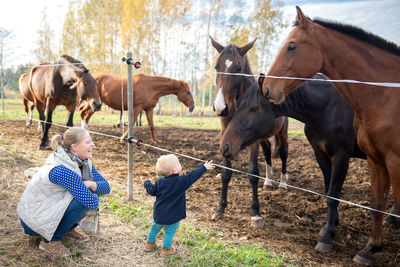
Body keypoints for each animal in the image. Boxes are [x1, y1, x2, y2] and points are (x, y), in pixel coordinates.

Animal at [211, 36, 290, 229]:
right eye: (217, 66)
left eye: (238, 68)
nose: (220, 107)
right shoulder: (226, 135)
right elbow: (226, 172)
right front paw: (220, 209)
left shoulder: (252, 140)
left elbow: (253, 173)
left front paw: (256, 214)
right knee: (268, 150)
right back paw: (268, 182)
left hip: (282, 132)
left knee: (284, 153)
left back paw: (283, 183)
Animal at [220, 74, 370, 254]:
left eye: (254, 108)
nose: (225, 145)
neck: (328, 107)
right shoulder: (321, 155)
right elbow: (329, 191)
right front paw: (332, 224)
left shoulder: (341, 156)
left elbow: (333, 195)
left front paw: (326, 237)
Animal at [260, 6, 400, 266]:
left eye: (292, 46)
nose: (267, 88)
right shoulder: (343, 156)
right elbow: (361, 199)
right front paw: (364, 247)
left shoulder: (348, 156)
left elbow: (335, 193)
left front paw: (327, 237)